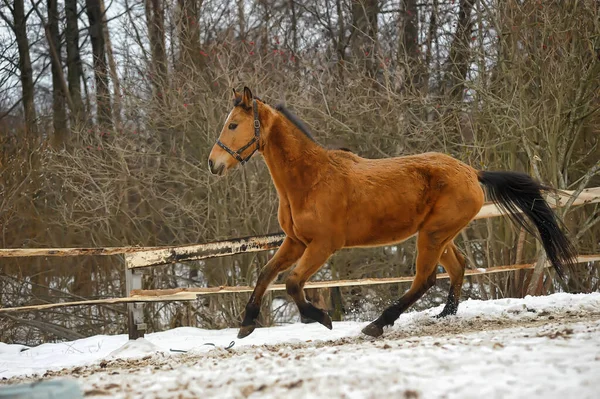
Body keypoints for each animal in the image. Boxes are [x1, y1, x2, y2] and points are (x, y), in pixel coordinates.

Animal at [207, 88, 576, 340]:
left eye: (233, 124)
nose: (213, 164)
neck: (311, 180)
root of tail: (472, 172)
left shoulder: (323, 245)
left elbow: (292, 282)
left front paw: (321, 318)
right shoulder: (295, 242)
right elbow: (266, 274)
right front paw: (247, 324)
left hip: (432, 235)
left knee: (425, 279)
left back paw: (377, 324)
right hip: (439, 235)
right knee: (457, 267)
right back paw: (444, 316)